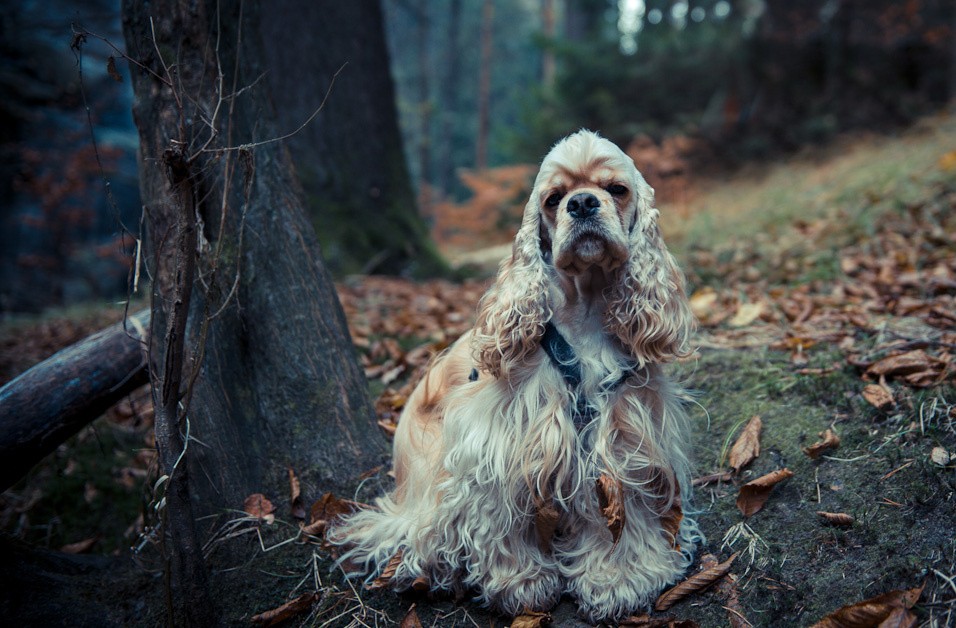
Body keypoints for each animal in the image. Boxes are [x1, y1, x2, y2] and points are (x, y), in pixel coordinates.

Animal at [332, 130, 700, 620]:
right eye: (553, 198)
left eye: (617, 189)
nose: (583, 203)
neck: (586, 309)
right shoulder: (500, 444)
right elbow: (501, 519)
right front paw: (521, 584)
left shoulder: (625, 437)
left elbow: (621, 512)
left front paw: (618, 580)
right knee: (418, 536)